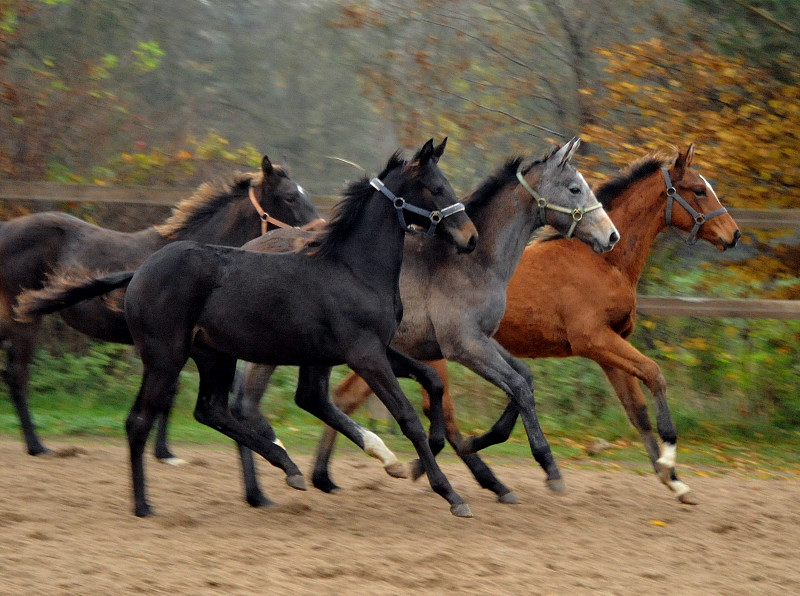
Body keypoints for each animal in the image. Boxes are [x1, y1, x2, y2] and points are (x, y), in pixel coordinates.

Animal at [3, 156, 322, 458]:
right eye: (290, 197)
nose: (319, 234)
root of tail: (6, 228)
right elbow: (170, 394)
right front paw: (164, 452)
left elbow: (171, 394)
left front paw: (165, 451)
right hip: (23, 321)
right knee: (17, 374)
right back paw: (37, 445)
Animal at [318, 144, 736, 502]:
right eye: (699, 190)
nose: (733, 234)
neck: (602, 262)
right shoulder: (593, 341)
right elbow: (653, 374)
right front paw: (668, 459)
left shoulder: (607, 348)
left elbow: (635, 411)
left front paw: (673, 481)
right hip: (422, 354)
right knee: (433, 417)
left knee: (349, 398)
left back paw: (333, 475)